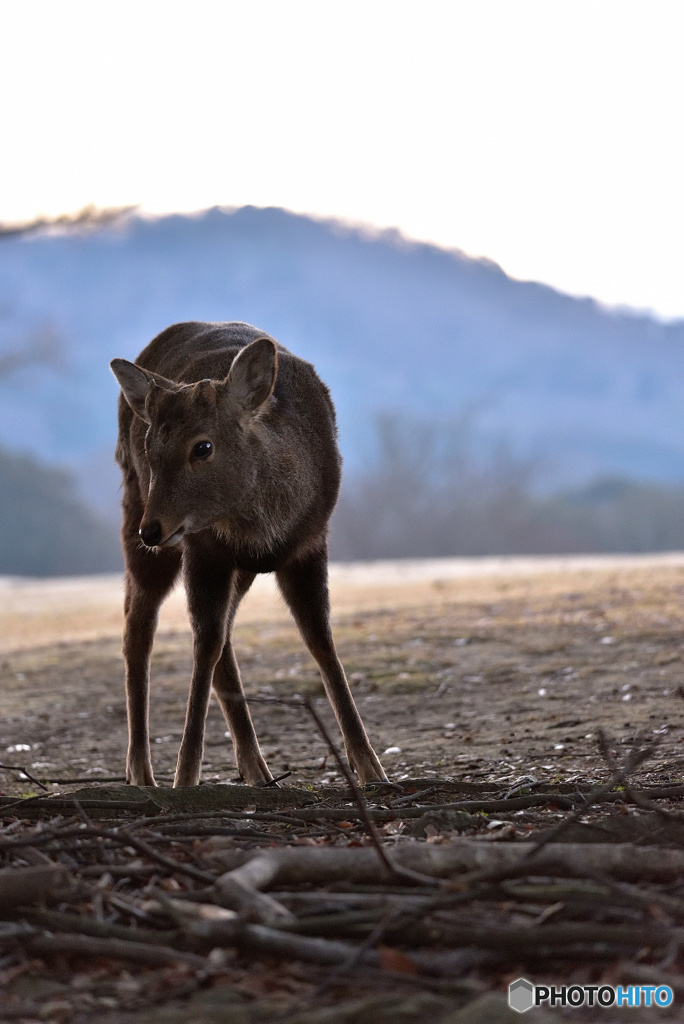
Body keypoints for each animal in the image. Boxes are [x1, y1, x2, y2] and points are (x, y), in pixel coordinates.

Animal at [107, 323, 385, 786]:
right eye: (150, 450)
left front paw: (372, 768)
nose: (153, 529)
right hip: (135, 507)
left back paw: (255, 767)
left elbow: (321, 640)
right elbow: (204, 645)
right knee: (138, 626)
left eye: (202, 447)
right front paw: (185, 777)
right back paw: (141, 772)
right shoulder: (203, 548)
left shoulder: (311, 542)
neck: (265, 527)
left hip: (235, 567)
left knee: (224, 632)